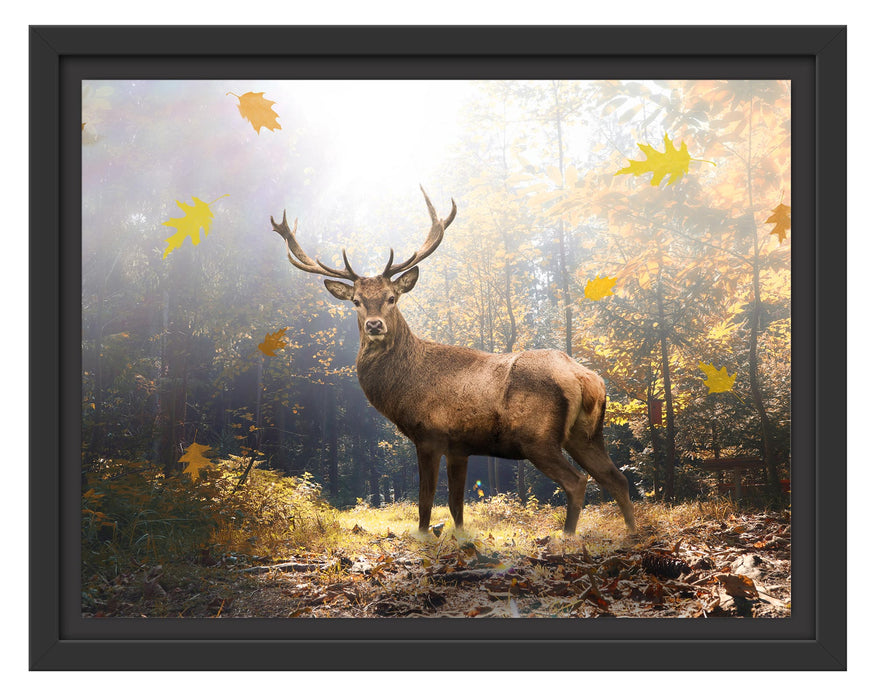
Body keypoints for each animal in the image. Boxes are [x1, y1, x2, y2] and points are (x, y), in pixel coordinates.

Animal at [270, 187, 636, 536]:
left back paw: (568, 536)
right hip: (587, 434)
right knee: (617, 478)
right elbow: (457, 505)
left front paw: (423, 538)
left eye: (392, 297)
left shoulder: (429, 434)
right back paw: (632, 532)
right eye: (357, 301)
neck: (403, 388)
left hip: (538, 437)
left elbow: (425, 502)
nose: (375, 325)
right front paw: (460, 538)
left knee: (578, 482)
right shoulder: (460, 446)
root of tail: (586, 378)